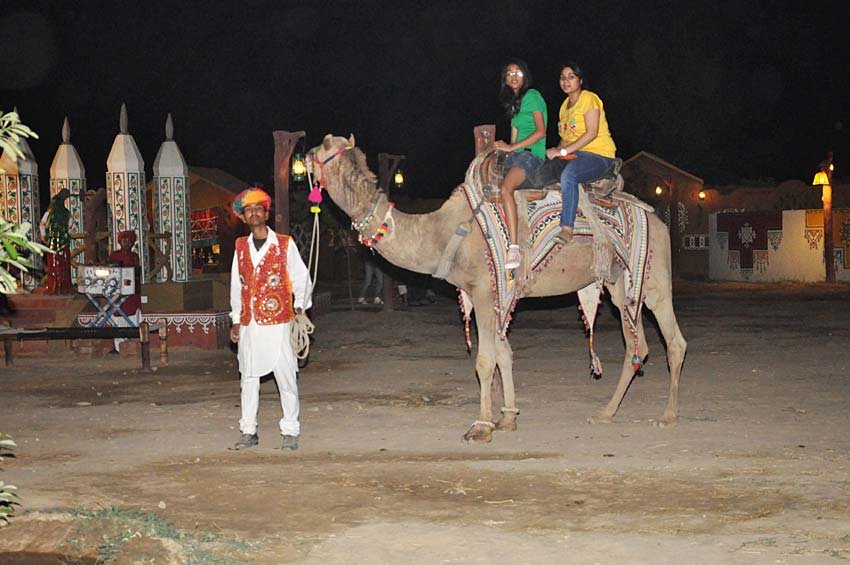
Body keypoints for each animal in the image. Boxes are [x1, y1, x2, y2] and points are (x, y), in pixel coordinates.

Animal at [308, 134, 684, 442]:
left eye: (325, 144)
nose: (307, 155)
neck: (444, 231)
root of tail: (659, 220)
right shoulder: (493, 294)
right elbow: (505, 354)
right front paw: (508, 419)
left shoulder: (486, 291)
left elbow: (485, 360)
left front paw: (481, 426)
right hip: (621, 285)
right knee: (637, 345)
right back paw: (605, 413)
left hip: (653, 279)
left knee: (674, 342)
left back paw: (667, 416)